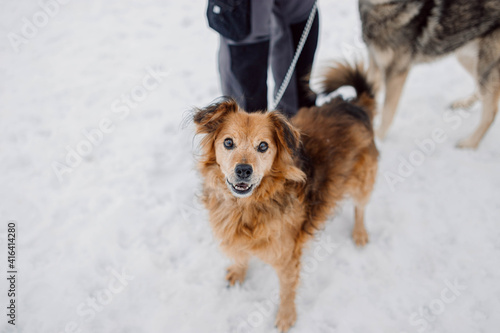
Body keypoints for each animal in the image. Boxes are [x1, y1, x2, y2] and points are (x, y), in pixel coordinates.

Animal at [360, 0, 500, 148]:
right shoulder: (375, 63)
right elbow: (366, 96)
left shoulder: (397, 72)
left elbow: (388, 112)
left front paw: (377, 139)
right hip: (467, 56)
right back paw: (464, 103)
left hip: (485, 64)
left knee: (491, 113)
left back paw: (469, 143)